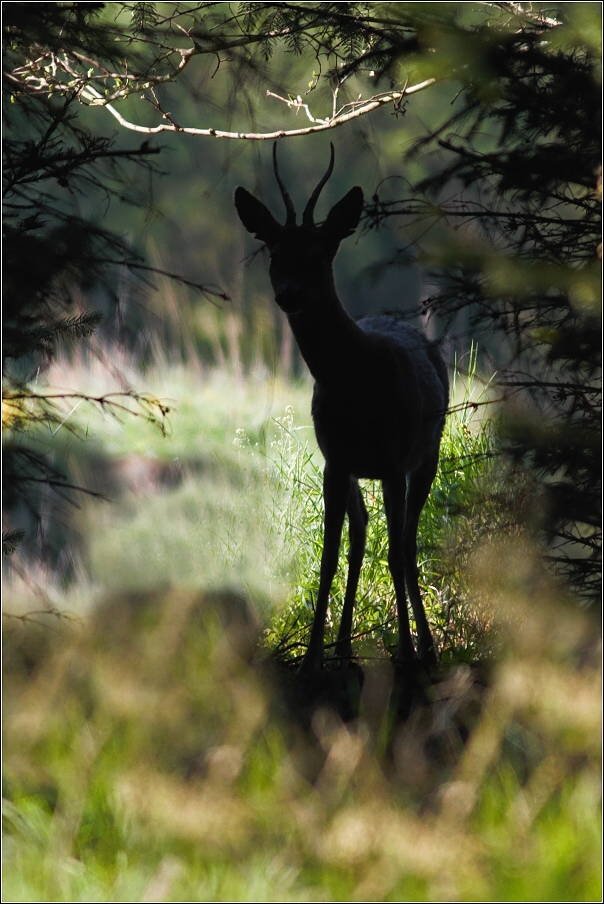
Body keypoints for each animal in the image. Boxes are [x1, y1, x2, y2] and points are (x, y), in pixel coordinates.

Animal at [236, 145, 448, 676]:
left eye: (319, 255)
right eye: (276, 255)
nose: (289, 294)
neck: (356, 383)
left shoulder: (393, 459)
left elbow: (394, 553)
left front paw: (406, 653)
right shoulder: (335, 458)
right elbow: (330, 555)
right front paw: (312, 659)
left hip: (428, 452)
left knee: (406, 544)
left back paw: (426, 650)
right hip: (356, 468)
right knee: (360, 536)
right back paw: (346, 650)